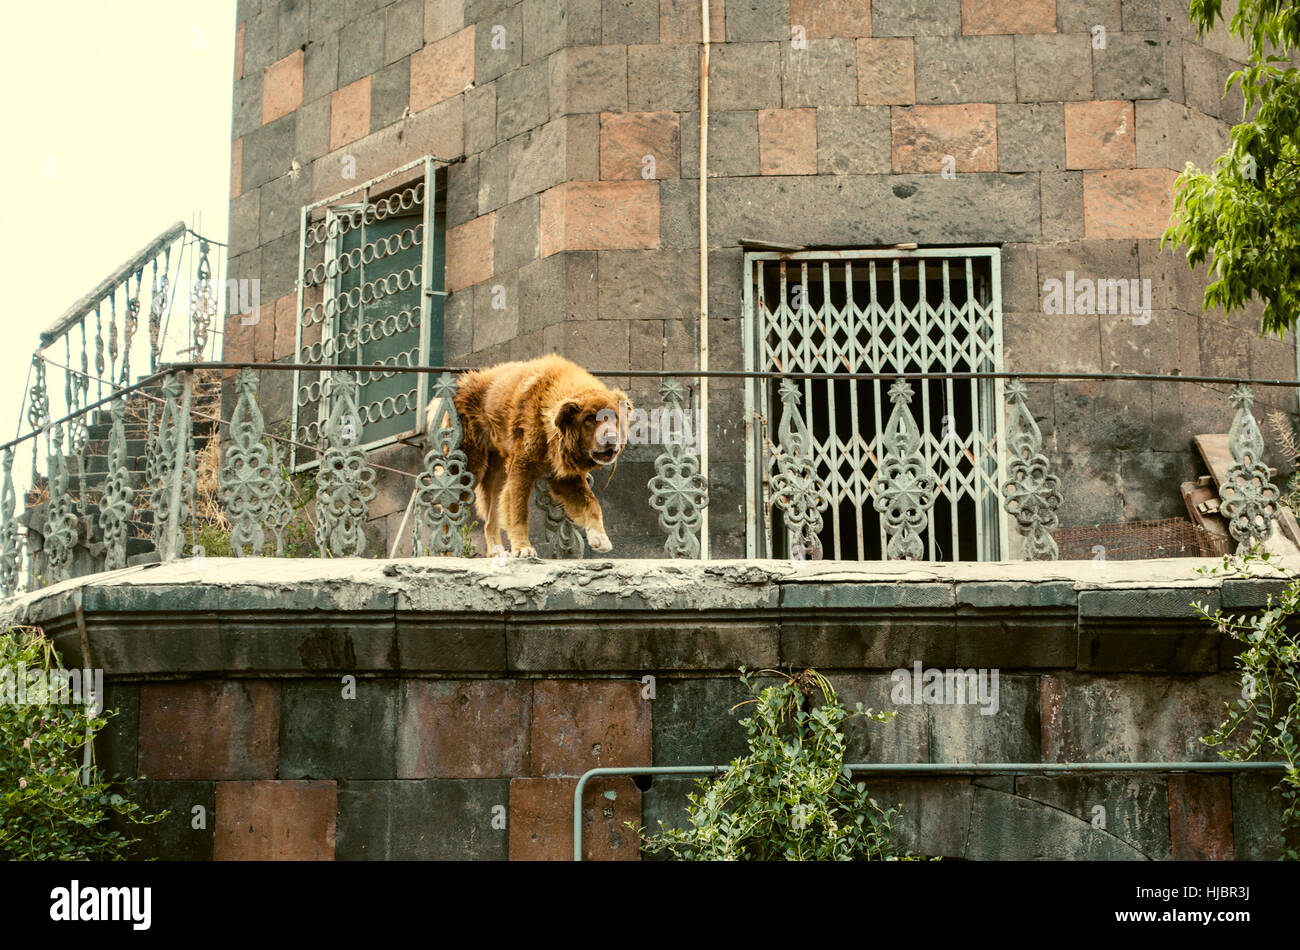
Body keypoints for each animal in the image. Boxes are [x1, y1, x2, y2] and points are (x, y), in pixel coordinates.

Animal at [439, 356, 631, 556]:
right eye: (590, 419)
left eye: (614, 417)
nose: (611, 439)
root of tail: (461, 383)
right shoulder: (521, 468)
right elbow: (519, 511)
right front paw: (523, 547)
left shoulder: (566, 478)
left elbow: (592, 502)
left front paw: (599, 536)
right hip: (469, 468)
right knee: (449, 511)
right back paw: (448, 551)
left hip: (498, 475)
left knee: (490, 521)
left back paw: (497, 552)